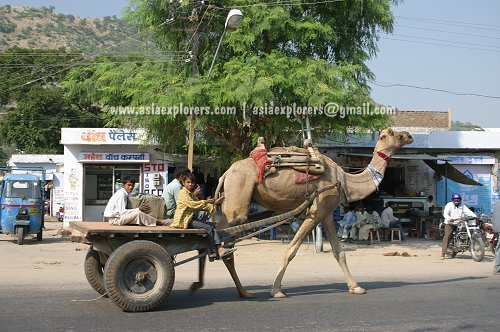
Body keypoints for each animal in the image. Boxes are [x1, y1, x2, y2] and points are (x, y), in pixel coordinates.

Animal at [213, 127, 412, 298]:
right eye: (394, 134)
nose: (409, 136)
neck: (344, 181)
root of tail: (226, 173)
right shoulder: (317, 211)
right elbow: (291, 250)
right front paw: (276, 290)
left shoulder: (326, 214)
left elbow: (339, 252)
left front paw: (355, 286)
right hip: (238, 201)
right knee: (221, 237)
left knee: (225, 244)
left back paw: (243, 292)